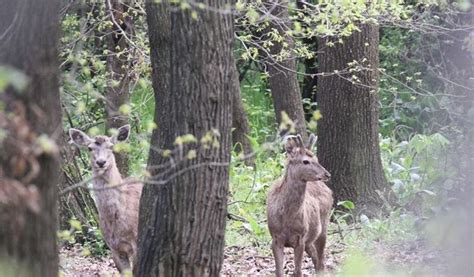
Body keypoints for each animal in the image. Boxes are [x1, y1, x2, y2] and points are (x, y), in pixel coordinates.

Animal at [266, 133, 334, 274]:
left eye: (317, 159)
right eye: (305, 161)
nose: (327, 174)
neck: (286, 218)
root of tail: (328, 189)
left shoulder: (300, 238)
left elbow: (297, 271)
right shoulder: (275, 238)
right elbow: (279, 272)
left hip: (323, 226)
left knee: (321, 263)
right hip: (310, 240)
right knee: (316, 261)